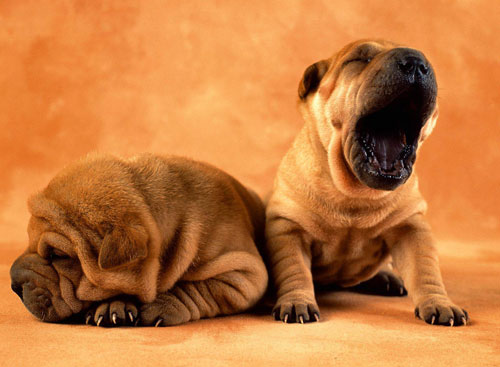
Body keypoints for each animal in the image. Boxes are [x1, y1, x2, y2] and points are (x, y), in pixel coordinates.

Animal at [10, 154, 270, 326]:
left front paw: (163, 303)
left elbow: (200, 288)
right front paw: (115, 305)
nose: (13, 284)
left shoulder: (243, 273)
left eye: (58, 255)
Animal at [266, 39, 468, 328]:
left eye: (424, 61)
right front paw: (296, 302)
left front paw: (440, 303)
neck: (354, 194)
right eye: (359, 60)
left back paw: (385, 277)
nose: (416, 63)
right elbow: (294, 269)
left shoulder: (410, 226)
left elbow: (425, 268)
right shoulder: (288, 227)